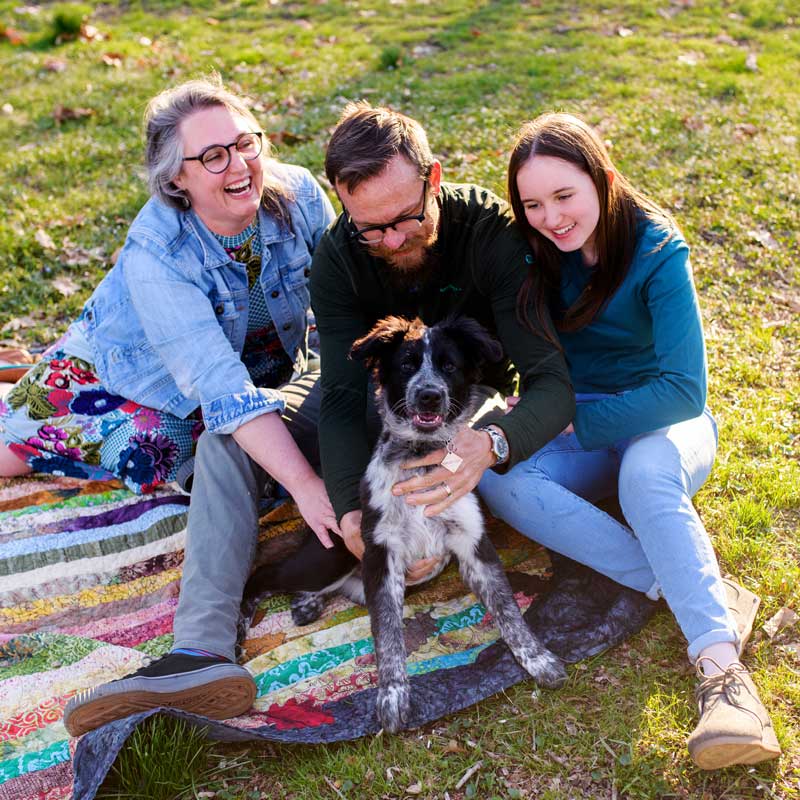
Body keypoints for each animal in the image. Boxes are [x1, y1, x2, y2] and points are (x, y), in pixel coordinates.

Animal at [241, 316, 564, 736]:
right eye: (407, 365)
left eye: (448, 366)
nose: (428, 396)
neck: (421, 457)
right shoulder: (382, 554)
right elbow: (389, 636)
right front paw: (392, 697)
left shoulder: (474, 545)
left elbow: (509, 612)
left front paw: (539, 659)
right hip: (329, 558)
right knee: (262, 574)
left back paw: (307, 603)